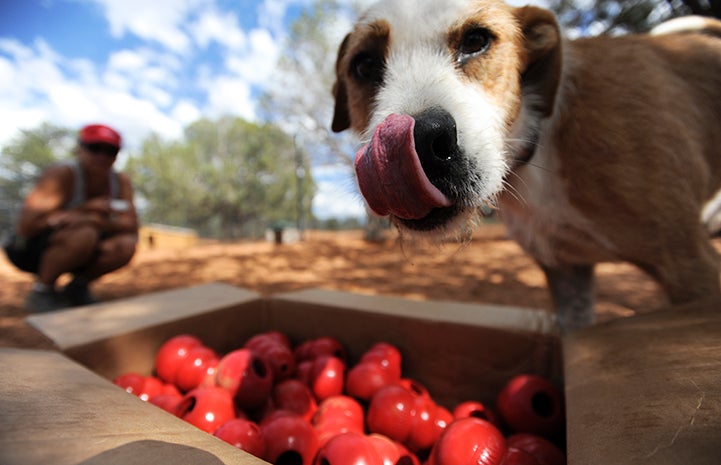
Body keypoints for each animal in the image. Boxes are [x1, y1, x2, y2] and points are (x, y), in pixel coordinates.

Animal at [330, 0, 720, 330]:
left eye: (476, 40)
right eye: (364, 65)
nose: (423, 143)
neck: (537, 152)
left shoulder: (691, 265)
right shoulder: (566, 274)